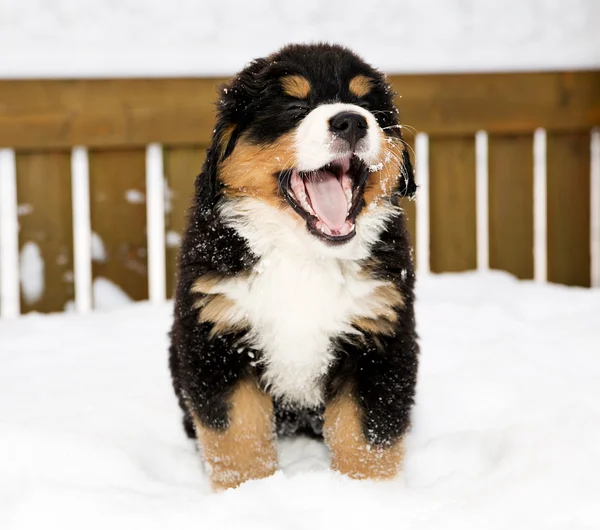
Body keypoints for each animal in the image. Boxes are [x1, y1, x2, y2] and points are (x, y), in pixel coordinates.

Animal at [170, 43, 418, 488]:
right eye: (295, 106)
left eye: (367, 105)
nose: (352, 121)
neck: (304, 256)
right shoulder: (218, 336)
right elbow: (237, 435)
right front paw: (249, 490)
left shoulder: (379, 336)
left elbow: (367, 436)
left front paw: (368, 493)